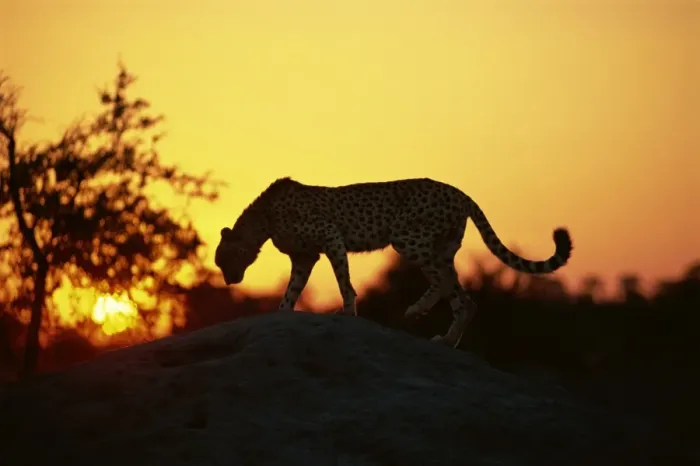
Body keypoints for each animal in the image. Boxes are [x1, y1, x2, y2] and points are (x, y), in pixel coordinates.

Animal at [215, 177, 573, 347]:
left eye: (223, 260)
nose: (229, 281)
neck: (263, 219)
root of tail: (458, 191)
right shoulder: (305, 257)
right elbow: (290, 292)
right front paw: (282, 313)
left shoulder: (331, 238)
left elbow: (344, 281)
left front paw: (347, 311)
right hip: (441, 248)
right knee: (458, 293)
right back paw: (444, 336)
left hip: (407, 239)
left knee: (448, 287)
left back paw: (421, 315)